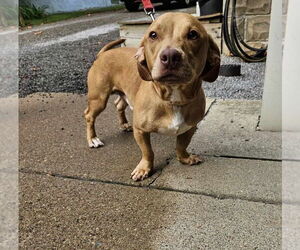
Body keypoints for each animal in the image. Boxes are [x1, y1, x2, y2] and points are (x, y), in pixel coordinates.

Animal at [84, 12, 220, 181]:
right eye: (153, 35)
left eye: (193, 34)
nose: (170, 56)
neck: (172, 99)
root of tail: (103, 54)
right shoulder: (141, 131)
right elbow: (148, 152)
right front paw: (145, 168)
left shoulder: (190, 127)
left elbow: (181, 146)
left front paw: (185, 158)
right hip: (99, 99)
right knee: (89, 116)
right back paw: (93, 139)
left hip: (123, 94)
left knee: (119, 104)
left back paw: (124, 124)